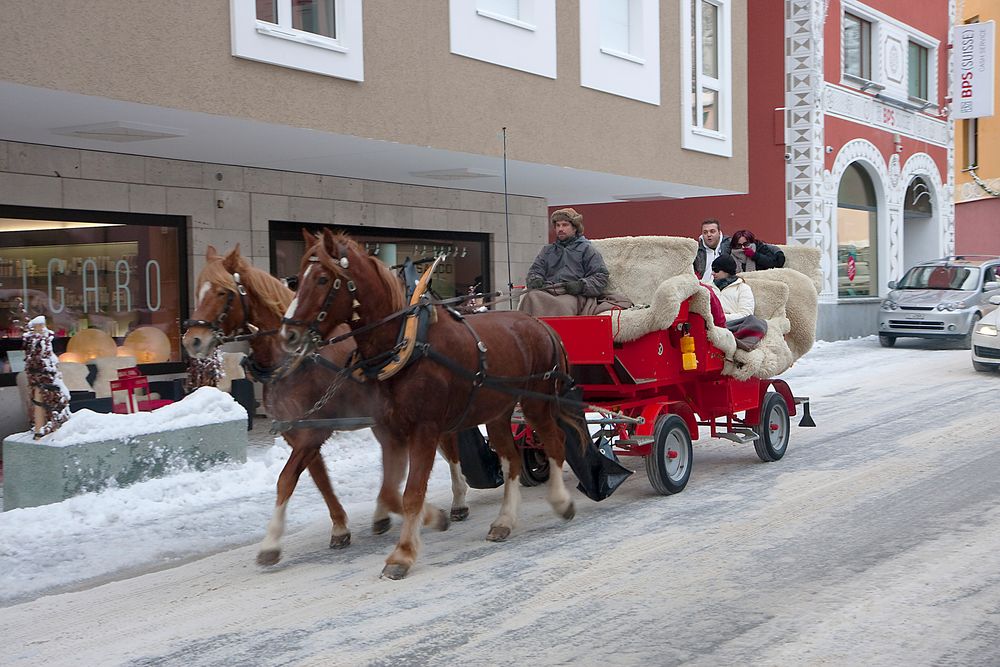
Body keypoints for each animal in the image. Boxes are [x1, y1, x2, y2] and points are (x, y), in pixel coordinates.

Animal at [182, 243, 470, 568]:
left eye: (223, 292)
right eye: (199, 291)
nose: (192, 340)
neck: (295, 361)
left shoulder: (313, 432)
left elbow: (286, 480)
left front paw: (271, 541)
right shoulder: (299, 431)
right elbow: (320, 480)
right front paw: (340, 527)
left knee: (449, 448)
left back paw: (459, 499)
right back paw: (383, 513)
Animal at [278, 230, 584, 580]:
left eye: (322, 279)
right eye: (297, 278)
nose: (288, 334)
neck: (405, 344)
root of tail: (540, 323)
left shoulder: (425, 429)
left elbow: (411, 492)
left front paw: (402, 554)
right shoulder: (391, 431)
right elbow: (390, 492)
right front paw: (435, 518)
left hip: (535, 401)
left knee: (554, 442)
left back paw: (561, 502)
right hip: (498, 410)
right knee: (511, 459)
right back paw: (504, 520)